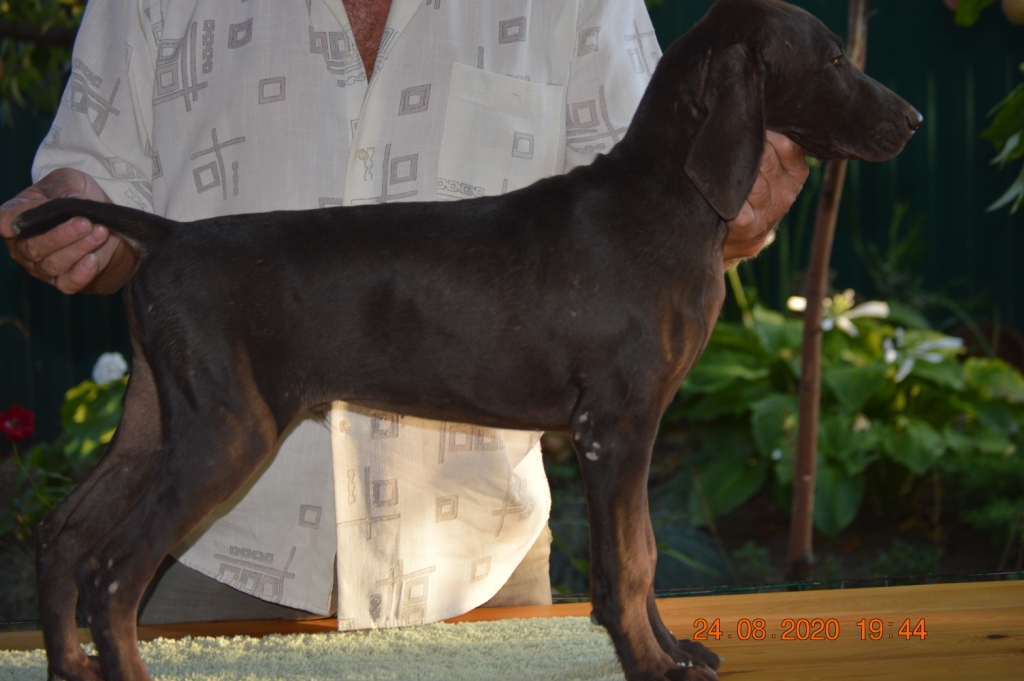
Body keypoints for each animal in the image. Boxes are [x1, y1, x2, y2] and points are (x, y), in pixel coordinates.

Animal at [14, 1, 921, 679]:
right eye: (833, 61)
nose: (913, 119)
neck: (665, 195)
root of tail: (165, 234)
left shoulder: (630, 431)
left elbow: (650, 548)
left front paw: (674, 650)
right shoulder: (616, 426)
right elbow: (628, 561)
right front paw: (649, 662)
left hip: (160, 417)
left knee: (61, 538)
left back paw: (69, 664)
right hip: (228, 430)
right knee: (114, 571)